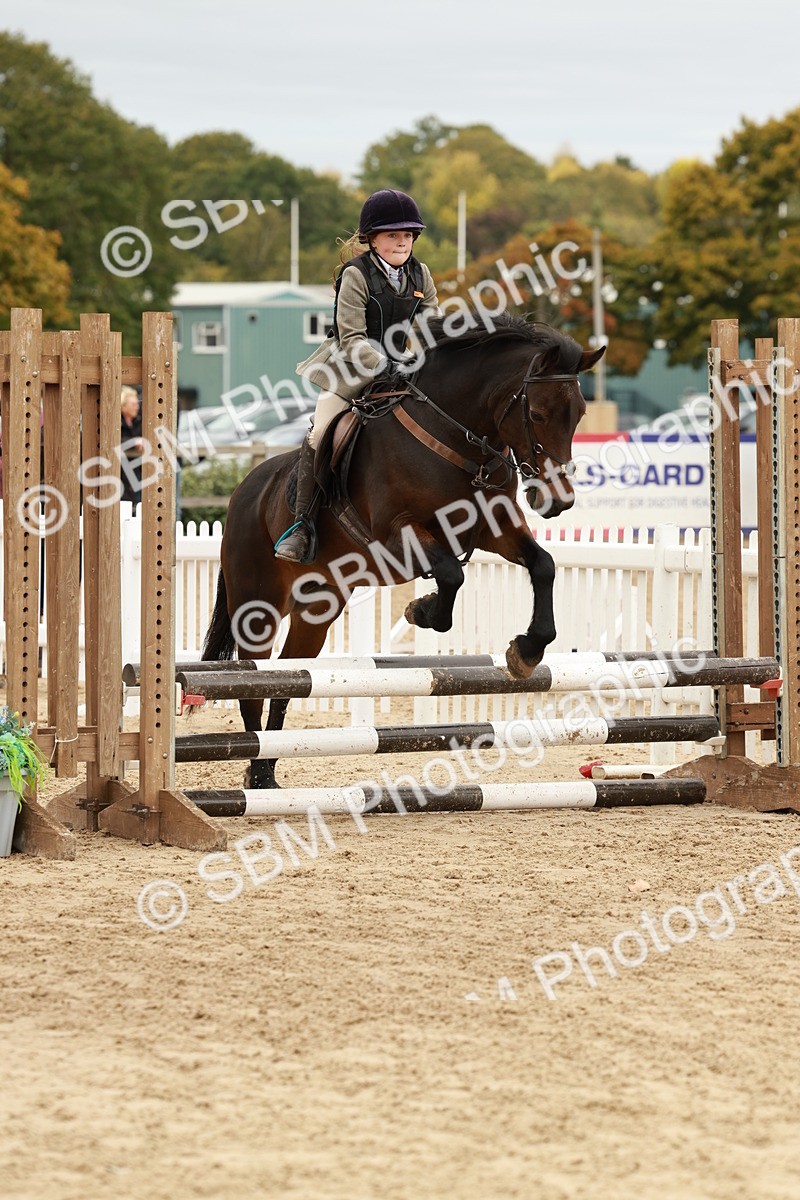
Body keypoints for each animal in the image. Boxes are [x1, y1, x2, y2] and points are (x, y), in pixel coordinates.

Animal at [201, 312, 604, 789]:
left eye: (579, 415)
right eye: (537, 414)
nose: (558, 501)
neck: (456, 438)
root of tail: (243, 491)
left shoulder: (495, 529)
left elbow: (543, 566)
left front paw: (527, 650)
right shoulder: (399, 535)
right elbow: (451, 575)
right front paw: (422, 610)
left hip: (317, 608)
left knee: (288, 678)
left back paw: (265, 768)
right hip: (257, 606)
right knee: (252, 681)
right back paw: (259, 774)